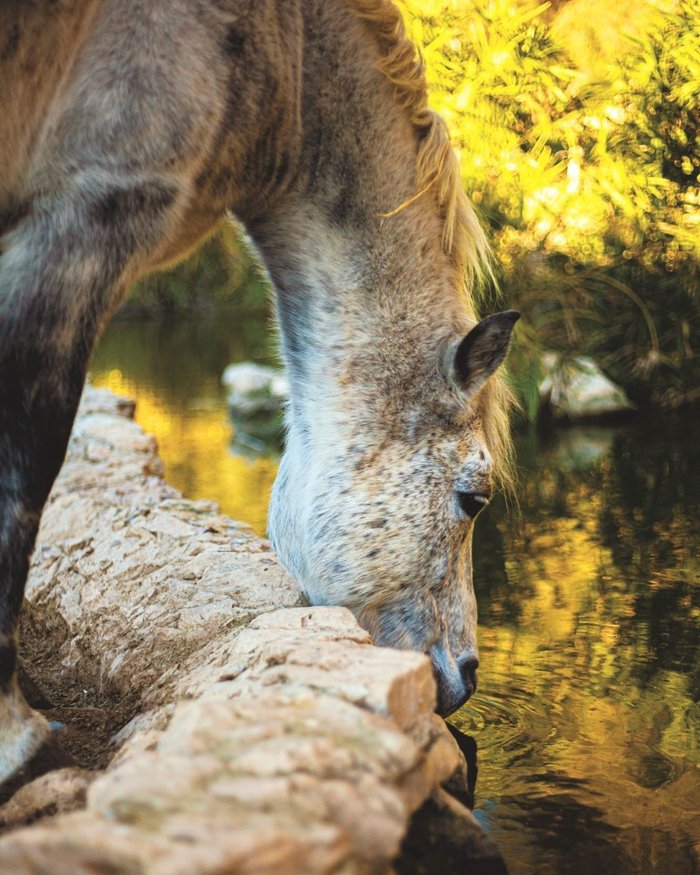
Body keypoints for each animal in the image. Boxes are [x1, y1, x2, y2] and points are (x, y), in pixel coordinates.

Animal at [0, 0, 516, 792]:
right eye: (474, 499)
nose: (468, 675)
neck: (292, 57)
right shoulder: (84, 218)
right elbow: (25, 467)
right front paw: (15, 735)